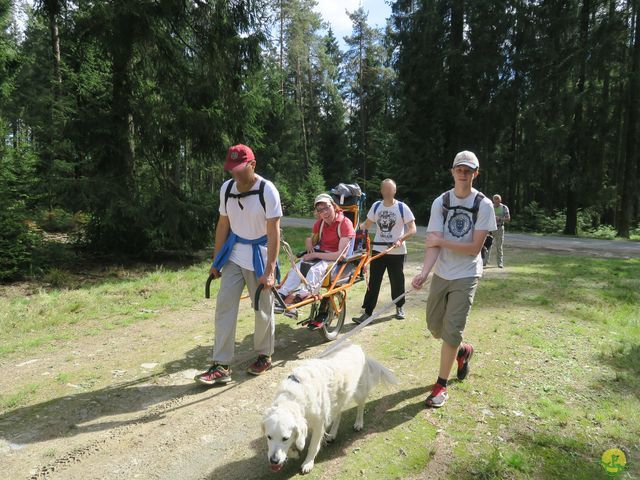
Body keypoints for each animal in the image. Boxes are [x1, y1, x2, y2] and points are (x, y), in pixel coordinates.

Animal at [260, 344, 396, 474]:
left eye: (285, 438)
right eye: (268, 437)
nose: (274, 461)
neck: (292, 398)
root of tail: (356, 347)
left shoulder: (319, 424)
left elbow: (313, 446)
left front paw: (308, 463)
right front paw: (293, 453)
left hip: (358, 392)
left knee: (361, 406)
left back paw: (358, 423)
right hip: (337, 399)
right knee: (339, 414)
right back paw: (332, 433)